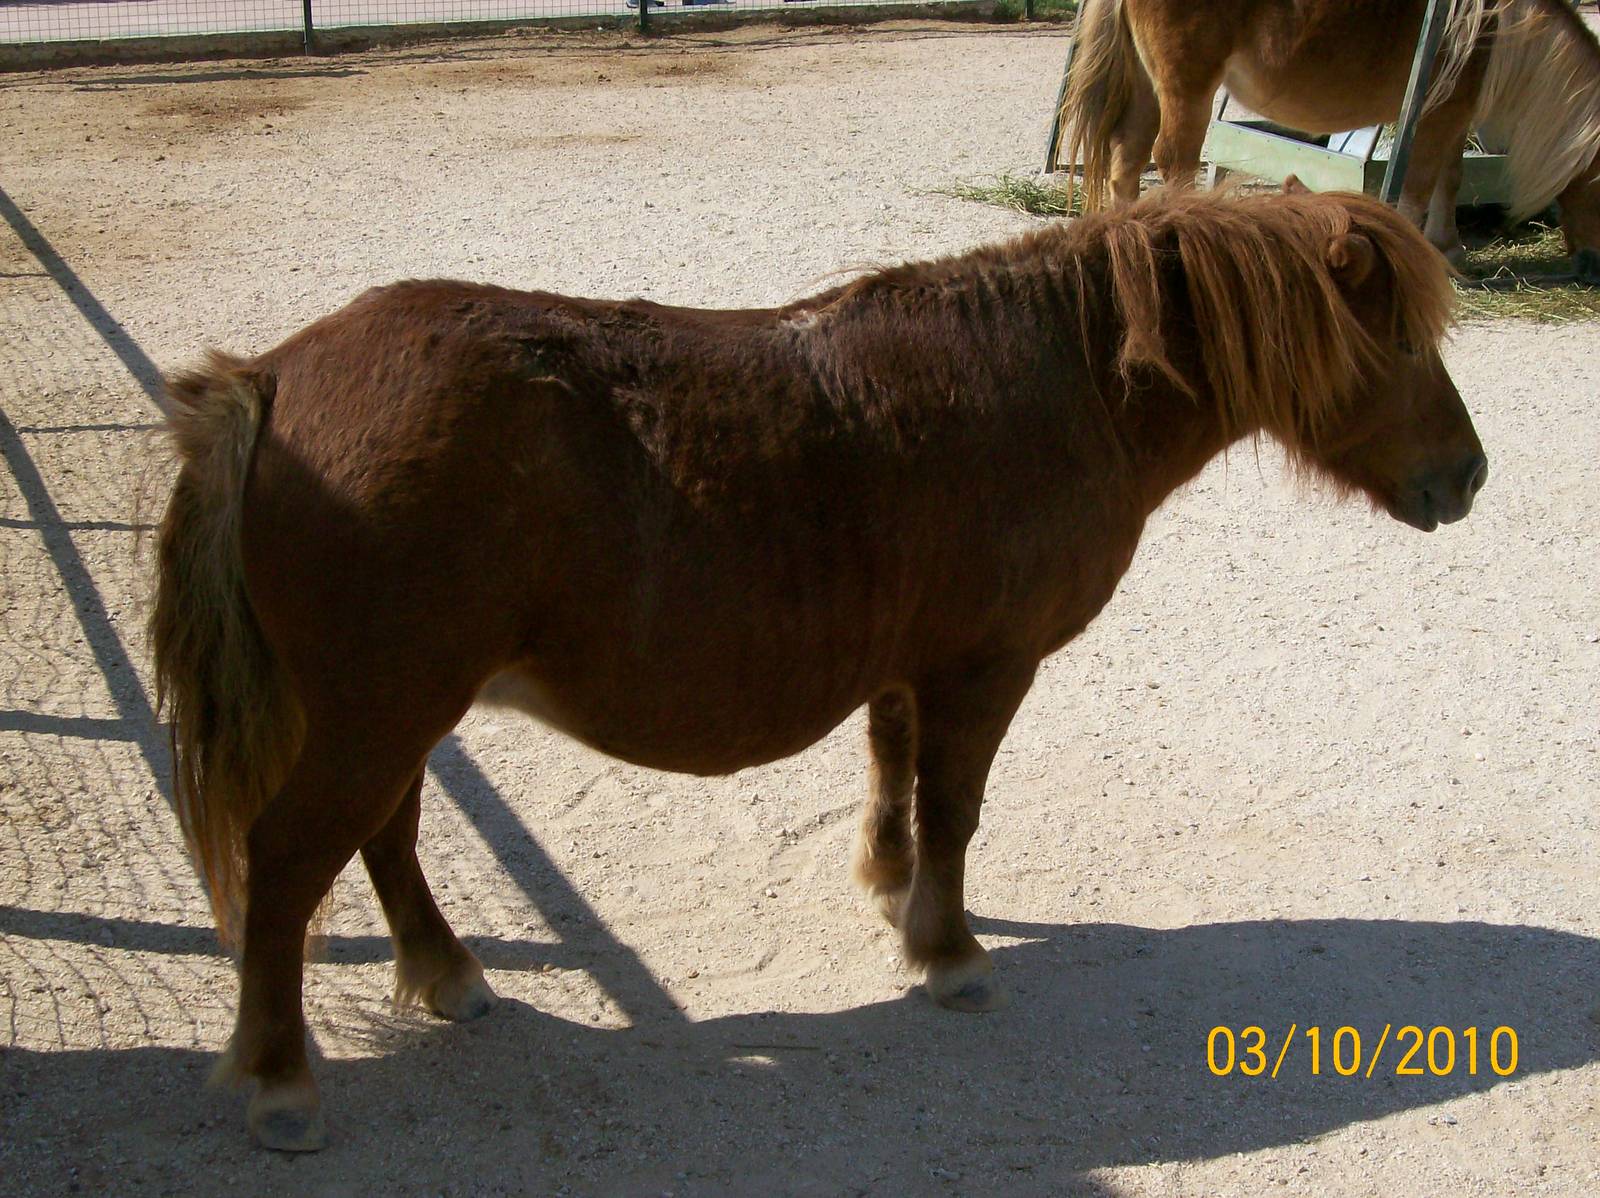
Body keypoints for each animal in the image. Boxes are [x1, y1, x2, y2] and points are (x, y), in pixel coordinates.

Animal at [150, 185, 1487, 1152]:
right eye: (1395, 337)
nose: (1468, 475)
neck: (1054, 385)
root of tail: (271, 378)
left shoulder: (906, 665)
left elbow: (895, 780)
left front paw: (893, 894)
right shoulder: (983, 667)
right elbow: (954, 806)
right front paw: (950, 953)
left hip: (401, 709)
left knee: (386, 835)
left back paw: (445, 973)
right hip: (379, 712)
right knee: (289, 864)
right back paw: (283, 1082)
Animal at [1059, 0, 1600, 281]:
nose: (1592, 267)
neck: (1498, 31)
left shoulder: (1453, 117)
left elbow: (1450, 177)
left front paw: (1448, 247)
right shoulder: (1441, 113)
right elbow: (1423, 185)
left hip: (1147, 87)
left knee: (1127, 162)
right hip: (1185, 86)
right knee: (1173, 162)